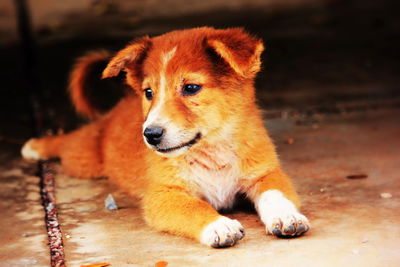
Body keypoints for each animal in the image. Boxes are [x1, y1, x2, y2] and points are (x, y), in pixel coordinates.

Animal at [21, 27, 310, 249]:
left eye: (191, 88)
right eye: (149, 92)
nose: (150, 134)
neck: (211, 151)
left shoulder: (265, 173)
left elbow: (275, 194)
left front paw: (286, 216)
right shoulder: (162, 195)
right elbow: (194, 207)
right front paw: (219, 226)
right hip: (83, 159)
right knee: (71, 142)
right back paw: (35, 146)